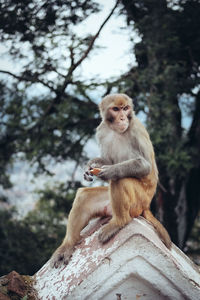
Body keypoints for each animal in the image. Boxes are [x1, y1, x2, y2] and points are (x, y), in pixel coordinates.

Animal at [50, 93, 172, 268]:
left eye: (125, 108)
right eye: (116, 109)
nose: (122, 118)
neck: (115, 130)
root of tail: (146, 206)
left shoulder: (136, 129)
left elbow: (144, 165)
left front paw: (110, 171)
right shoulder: (102, 130)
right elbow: (107, 159)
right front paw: (89, 166)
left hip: (138, 201)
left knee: (121, 180)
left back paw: (119, 222)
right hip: (108, 204)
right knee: (84, 196)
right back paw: (67, 245)